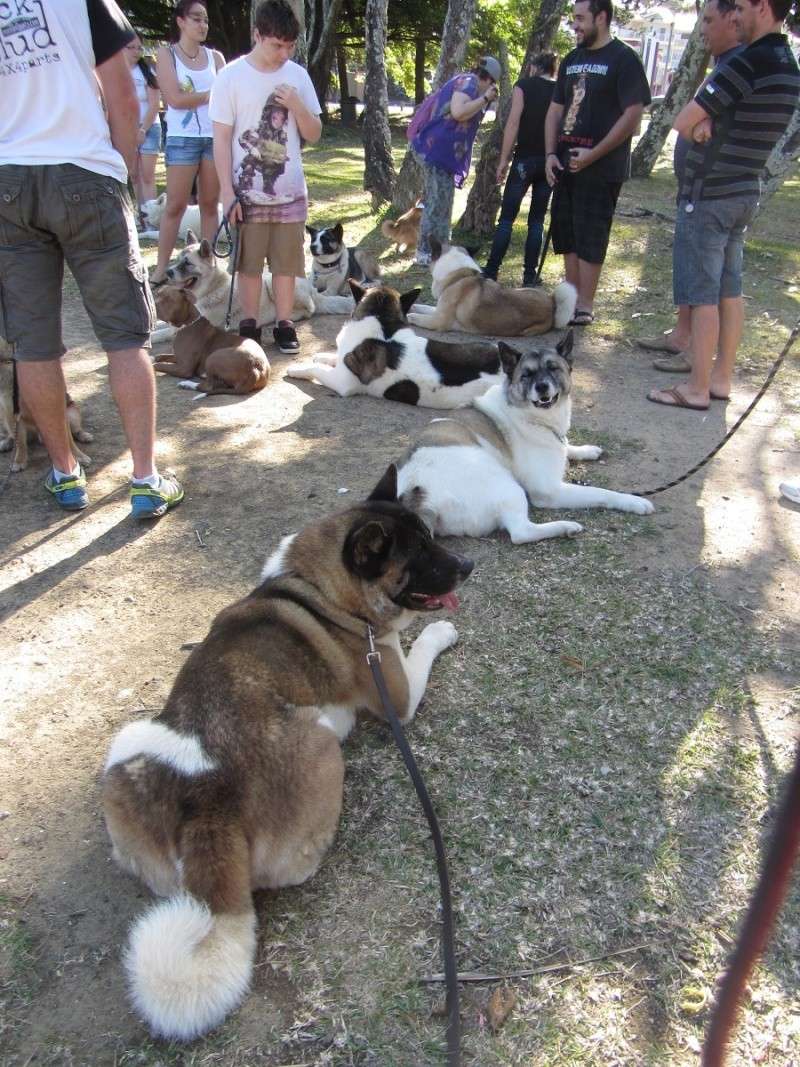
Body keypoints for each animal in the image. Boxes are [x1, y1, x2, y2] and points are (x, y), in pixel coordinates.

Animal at [103, 465, 473, 1032]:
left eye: (434, 537)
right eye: (422, 556)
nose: (469, 566)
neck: (318, 590)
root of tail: (209, 805)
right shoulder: (398, 693)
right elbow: (426, 642)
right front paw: (441, 630)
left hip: (128, 743)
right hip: (320, 741)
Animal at [153, 231, 354, 343]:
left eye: (187, 263)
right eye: (178, 260)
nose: (168, 272)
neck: (212, 287)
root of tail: (313, 289)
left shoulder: (187, 327)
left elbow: (164, 332)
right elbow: (161, 323)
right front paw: (154, 323)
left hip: (272, 283)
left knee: (309, 309)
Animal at [285, 279, 503, 407]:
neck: (382, 322)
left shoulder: (342, 382)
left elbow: (315, 369)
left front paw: (297, 369)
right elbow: (334, 357)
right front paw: (322, 355)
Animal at [398, 330, 652, 546]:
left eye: (553, 368)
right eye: (527, 375)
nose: (542, 387)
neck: (532, 416)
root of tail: (418, 497)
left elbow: (567, 445)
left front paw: (586, 450)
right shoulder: (550, 490)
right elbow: (600, 493)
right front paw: (633, 501)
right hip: (509, 488)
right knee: (521, 532)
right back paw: (565, 527)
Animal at [407, 239, 576, 335]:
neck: (458, 276)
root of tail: (552, 302)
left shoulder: (438, 321)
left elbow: (415, 316)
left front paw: (409, 315)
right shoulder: (437, 310)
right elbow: (423, 307)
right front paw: (413, 306)